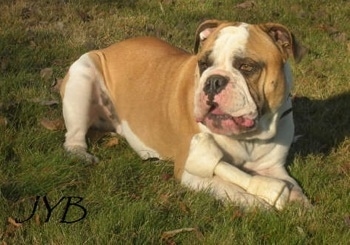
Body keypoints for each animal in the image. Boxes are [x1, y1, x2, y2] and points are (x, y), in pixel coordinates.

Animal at [60, 20, 308, 210]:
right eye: (204, 63)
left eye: (246, 66)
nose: (214, 81)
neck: (248, 138)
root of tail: (110, 48)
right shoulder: (192, 170)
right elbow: (232, 187)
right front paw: (260, 203)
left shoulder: (272, 168)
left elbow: (291, 185)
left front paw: (301, 203)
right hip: (81, 78)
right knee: (73, 138)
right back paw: (81, 154)